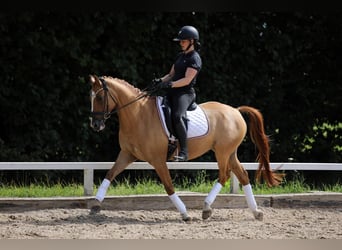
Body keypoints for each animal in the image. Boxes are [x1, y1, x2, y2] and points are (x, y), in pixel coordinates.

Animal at [88, 73, 284, 221]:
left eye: (100, 97)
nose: (95, 125)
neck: (138, 115)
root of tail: (235, 110)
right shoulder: (127, 154)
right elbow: (110, 174)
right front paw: (95, 204)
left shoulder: (158, 160)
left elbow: (168, 186)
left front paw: (184, 213)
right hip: (230, 152)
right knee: (242, 175)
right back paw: (256, 212)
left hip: (222, 152)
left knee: (224, 175)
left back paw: (206, 208)